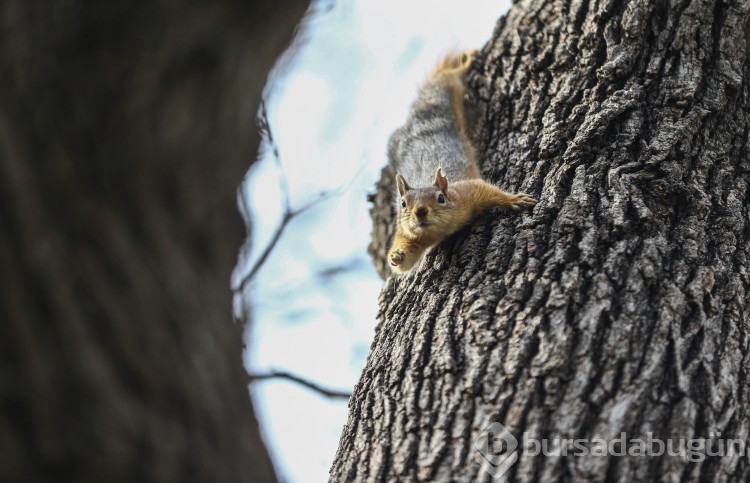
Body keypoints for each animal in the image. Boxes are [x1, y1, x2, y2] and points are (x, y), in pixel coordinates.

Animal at [384, 50, 536, 274]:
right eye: (403, 204)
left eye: (441, 198)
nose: (420, 212)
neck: (442, 230)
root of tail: (413, 118)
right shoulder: (406, 232)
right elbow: (405, 262)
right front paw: (396, 256)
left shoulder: (467, 192)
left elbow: (488, 190)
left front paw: (513, 200)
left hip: (441, 93)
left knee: (447, 76)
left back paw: (465, 61)